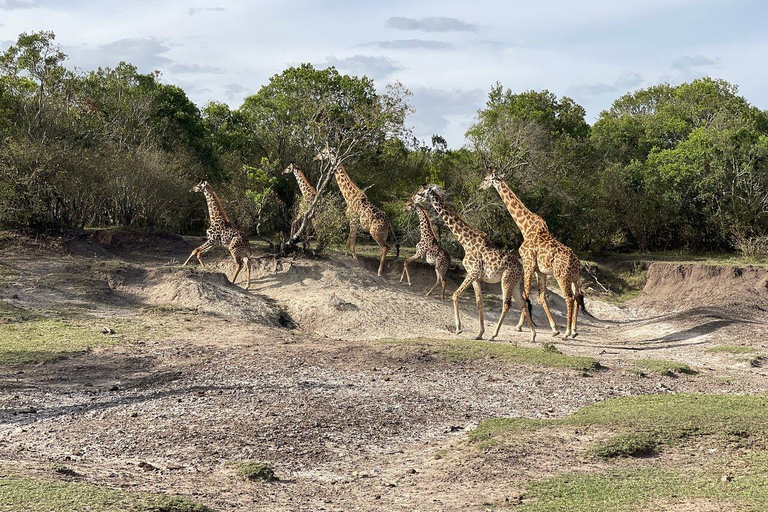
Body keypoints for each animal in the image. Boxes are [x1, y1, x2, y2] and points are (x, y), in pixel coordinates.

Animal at [312, 148, 392, 276]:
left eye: (324, 152)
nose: (315, 158)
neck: (349, 196)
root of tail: (388, 223)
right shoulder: (352, 221)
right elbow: (349, 239)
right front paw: (346, 255)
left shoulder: (354, 220)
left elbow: (352, 239)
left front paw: (354, 258)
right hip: (383, 234)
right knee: (383, 248)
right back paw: (381, 270)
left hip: (375, 232)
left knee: (385, 248)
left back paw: (379, 272)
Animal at [414, 184, 536, 340]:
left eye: (420, 193)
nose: (413, 200)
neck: (465, 241)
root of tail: (521, 268)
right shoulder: (476, 277)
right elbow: (479, 302)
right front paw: (479, 333)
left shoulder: (472, 272)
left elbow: (455, 295)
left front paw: (459, 329)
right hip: (515, 283)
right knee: (523, 303)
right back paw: (533, 336)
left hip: (506, 279)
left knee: (507, 304)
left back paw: (494, 335)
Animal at [476, 167, 592, 340]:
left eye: (485, 178)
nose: (479, 188)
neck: (525, 227)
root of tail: (576, 263)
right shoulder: (540, 271)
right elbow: (541, 297)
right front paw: (554, 328)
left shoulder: (527, 262)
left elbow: (526, 294)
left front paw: (519, 326)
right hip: (574, 277)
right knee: (578, 296)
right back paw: (574, 330)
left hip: (561, 276)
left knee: (569, 298)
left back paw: (567, 332)